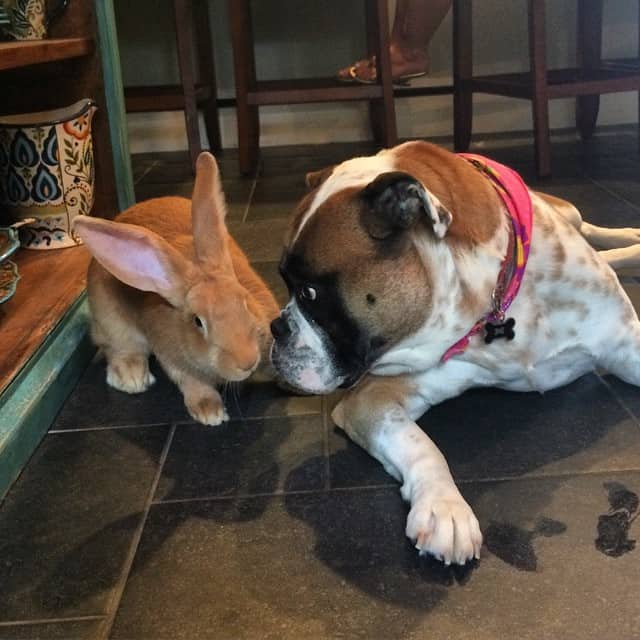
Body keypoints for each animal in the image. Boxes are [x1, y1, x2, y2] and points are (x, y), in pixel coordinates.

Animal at [73, 151, 280, 424]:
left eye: (245, 302)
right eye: (197, 322)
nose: (247, 361)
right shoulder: (173, 358)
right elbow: (192, 383)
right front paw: (210, 413)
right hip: (110, 321)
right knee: (118, 347)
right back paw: (131, 377)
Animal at [268, 140, 640, 564]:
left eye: (310, 293)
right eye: (286, 285)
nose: (276, 328)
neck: (497, 301)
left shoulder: (626, 344)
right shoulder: (373, 399)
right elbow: (422, 446)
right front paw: (445, 507)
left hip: (570, 211)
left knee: (589, 227)